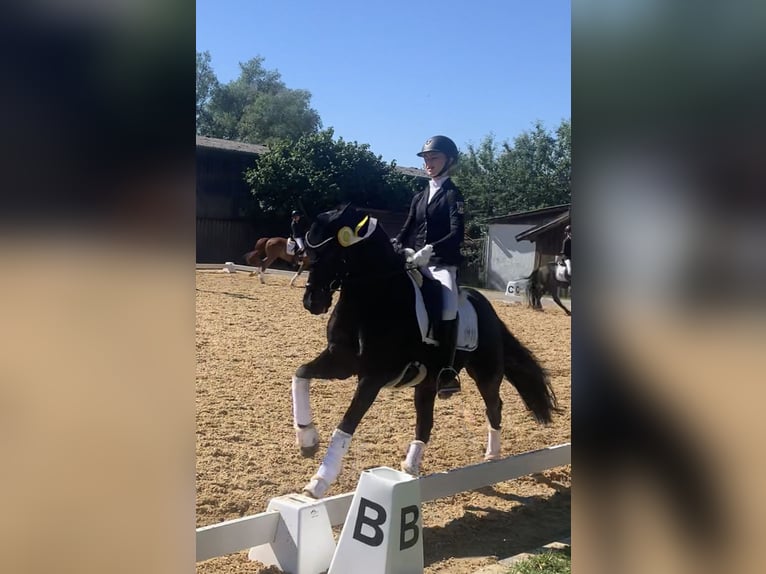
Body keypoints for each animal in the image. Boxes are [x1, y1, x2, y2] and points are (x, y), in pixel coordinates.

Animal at [290, 205, 559, 498]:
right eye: (307, 253)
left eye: (334, 254)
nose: (312, 302)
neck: (375, 297)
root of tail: (483, 304)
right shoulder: (341, 362)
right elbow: (300, 373)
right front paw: (307, 439)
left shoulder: (373, 376)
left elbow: (346, 424)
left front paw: (318, 483)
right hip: (428, 382)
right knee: (426, 422)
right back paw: (410, 467)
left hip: (486, 373)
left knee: (494, 407)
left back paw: (492, 456)